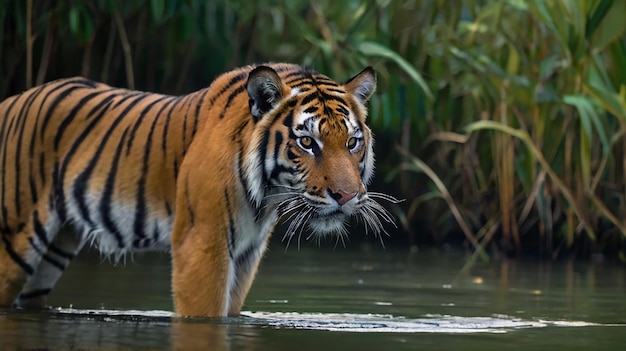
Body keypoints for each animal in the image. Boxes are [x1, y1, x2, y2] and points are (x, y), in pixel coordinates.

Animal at [0, 63, 394, 320]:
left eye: (353, 142)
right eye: (308, 142)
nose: (346, 196)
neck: (266, 197)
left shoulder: (246, 255)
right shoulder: (202, 242)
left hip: (54, 250)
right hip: (14, 239)